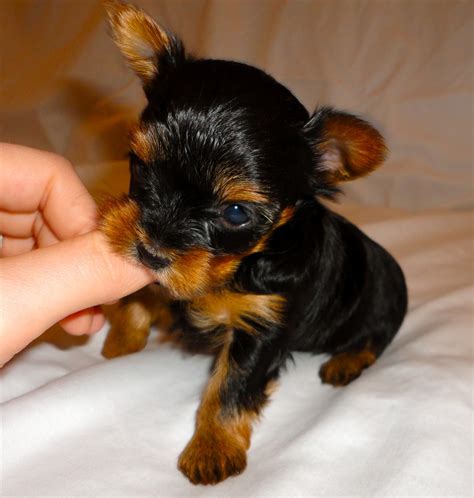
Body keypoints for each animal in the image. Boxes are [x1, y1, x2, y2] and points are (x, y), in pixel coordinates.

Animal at [99, 1, 408, 486]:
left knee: (373, 338)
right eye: (139, 166)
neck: (243, 263)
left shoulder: (262, 324)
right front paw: (122, 340)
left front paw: (211, 448)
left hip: (383, 303)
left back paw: (344, 362)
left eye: (236, 214)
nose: (151, 251)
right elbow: (144, 294)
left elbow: (230, 387)